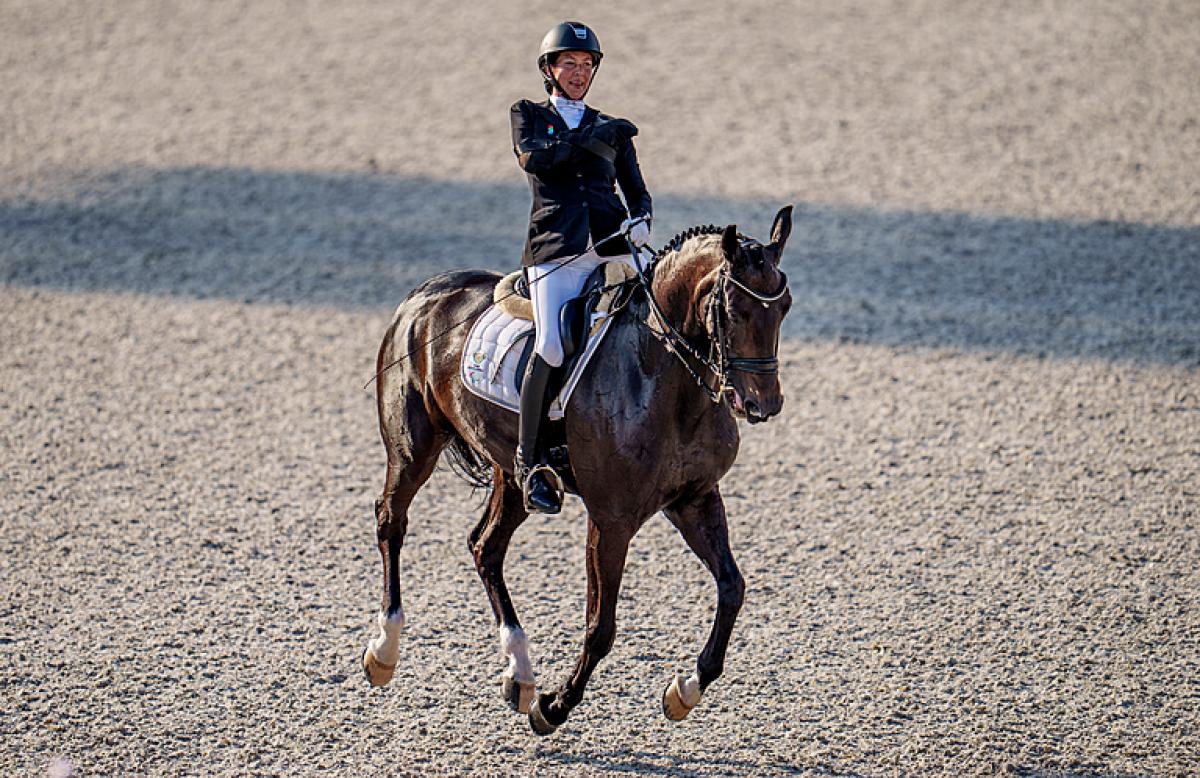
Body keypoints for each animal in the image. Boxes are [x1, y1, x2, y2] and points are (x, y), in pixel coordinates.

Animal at [364, 204, 796, 734]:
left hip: (512, 474)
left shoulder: (695, 499)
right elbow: (601, 626)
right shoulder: (611, 520)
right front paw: (553, 708)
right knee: (392, 521)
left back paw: (519, 673)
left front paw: (685, 691)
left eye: (784, 306)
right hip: (412, 448)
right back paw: (384, 652)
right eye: (733, 311)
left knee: (486, 547)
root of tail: (425, 293)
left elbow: (733, 589)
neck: (660, 375)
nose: (763, 404)